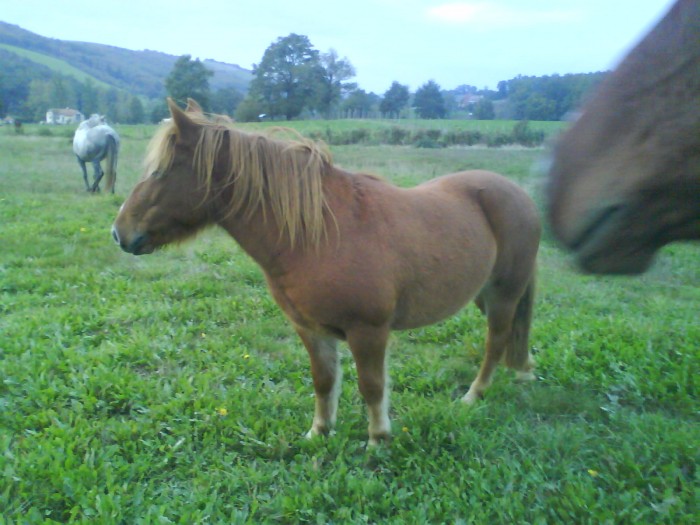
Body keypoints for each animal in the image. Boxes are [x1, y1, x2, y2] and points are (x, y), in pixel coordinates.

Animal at [113, 97, 540, 442]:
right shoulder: (311, 328)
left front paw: (377, 440)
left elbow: (371, 386)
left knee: (496, 342)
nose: (120, 233)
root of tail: (519, 193)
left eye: (160, 172)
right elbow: (324, 381)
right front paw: (319, 433)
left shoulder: (368, 331)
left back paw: (473, 395)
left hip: (504, 294)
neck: (318, 235)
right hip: (483, 295)